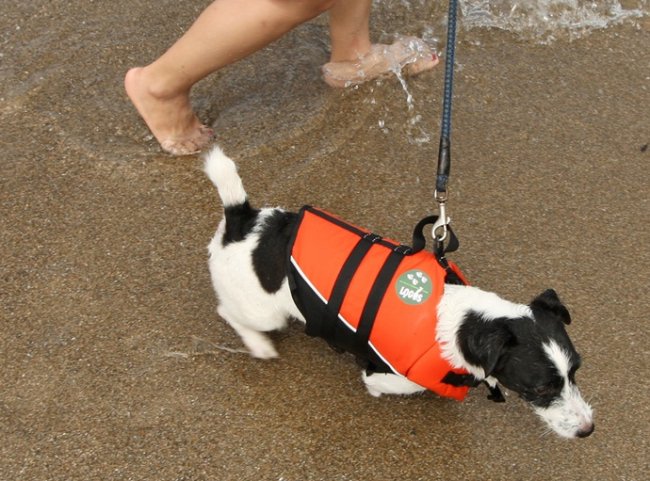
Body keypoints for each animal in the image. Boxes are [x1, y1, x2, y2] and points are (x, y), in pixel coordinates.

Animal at [204, 146, 592, 438]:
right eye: (540, 389)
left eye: (575, 371)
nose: (588, 430)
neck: (464, 320)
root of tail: (243, 221)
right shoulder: (389, 373)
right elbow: (397, 384)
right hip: (263, 311)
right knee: (227, 312)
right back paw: (258, 344)